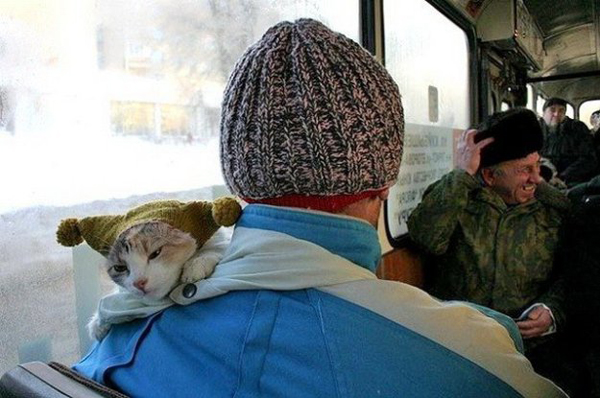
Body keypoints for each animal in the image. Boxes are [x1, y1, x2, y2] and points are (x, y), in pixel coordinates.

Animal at [87, 222, 230, 340]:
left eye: (156, 253)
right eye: (120, 268)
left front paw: (198, 262)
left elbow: (218, 246)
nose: (139, 283)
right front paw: (97, 322)